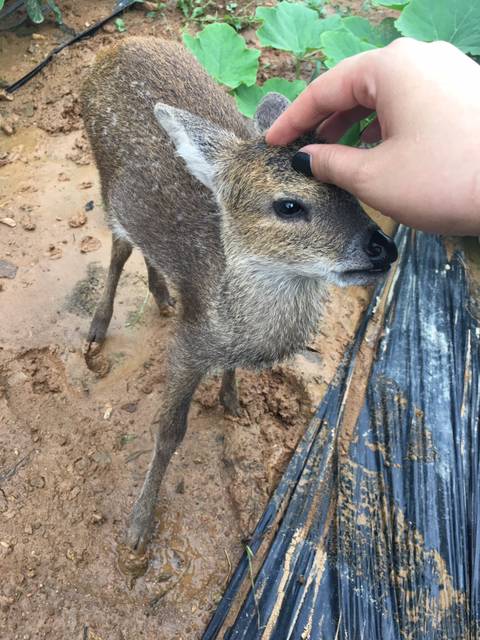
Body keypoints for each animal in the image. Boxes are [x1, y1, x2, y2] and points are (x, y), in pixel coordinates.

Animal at [80, 37, 398, 552]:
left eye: (351, 191)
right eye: (288, 205)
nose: (383, 248)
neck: (233, 319)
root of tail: (117, 44)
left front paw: (232, 399)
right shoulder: (188, 345)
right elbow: (169, 432)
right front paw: (138, 527)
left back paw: (163, 295)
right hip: (106, 180)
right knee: (118, 247)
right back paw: (97, 328)